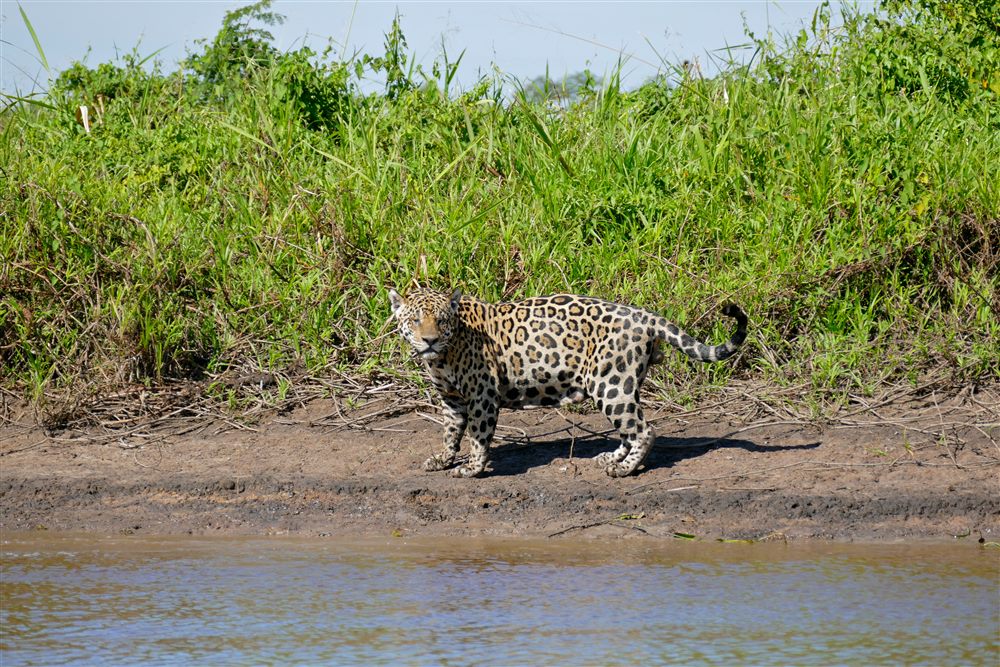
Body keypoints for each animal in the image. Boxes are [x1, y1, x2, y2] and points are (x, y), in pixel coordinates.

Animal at [388, 287, 748, 478]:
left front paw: (473, 468)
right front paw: (443, 459)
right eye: (415, 320)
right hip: (621, 384)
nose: (430, 340)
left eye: (442, 321)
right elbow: (450, 432)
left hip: (611, 383)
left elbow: (478, 435)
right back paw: (612, 458)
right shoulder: (452, 399)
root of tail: (643, 315)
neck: (444, 355)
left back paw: (625, 469)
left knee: (645, 430)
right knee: (629, 428)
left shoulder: (483, 395)